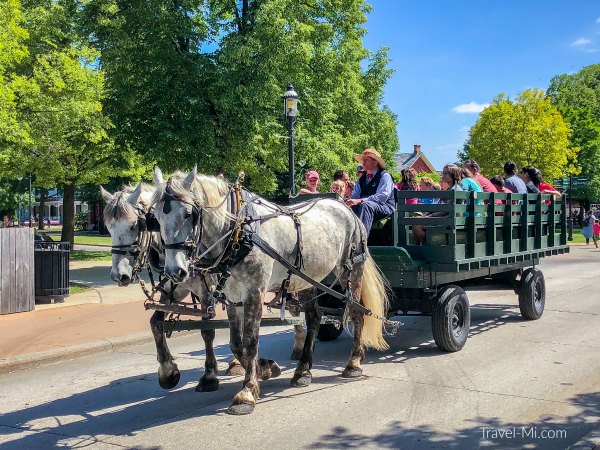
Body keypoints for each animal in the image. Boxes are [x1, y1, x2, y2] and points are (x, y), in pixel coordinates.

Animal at [151, 166, 390, 414]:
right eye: (155, 217)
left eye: (188, 214)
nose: (173, 271)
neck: (238, 232)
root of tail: (346, 208)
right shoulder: (231, 297)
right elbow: (236, 344)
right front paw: (265, 368)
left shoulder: (254, 292)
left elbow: (250, 342)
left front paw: (247, 392)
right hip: (306, 279)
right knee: (314, 318)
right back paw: (303, 370)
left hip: (351, 270)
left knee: (356, 313)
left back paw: (353, 363)